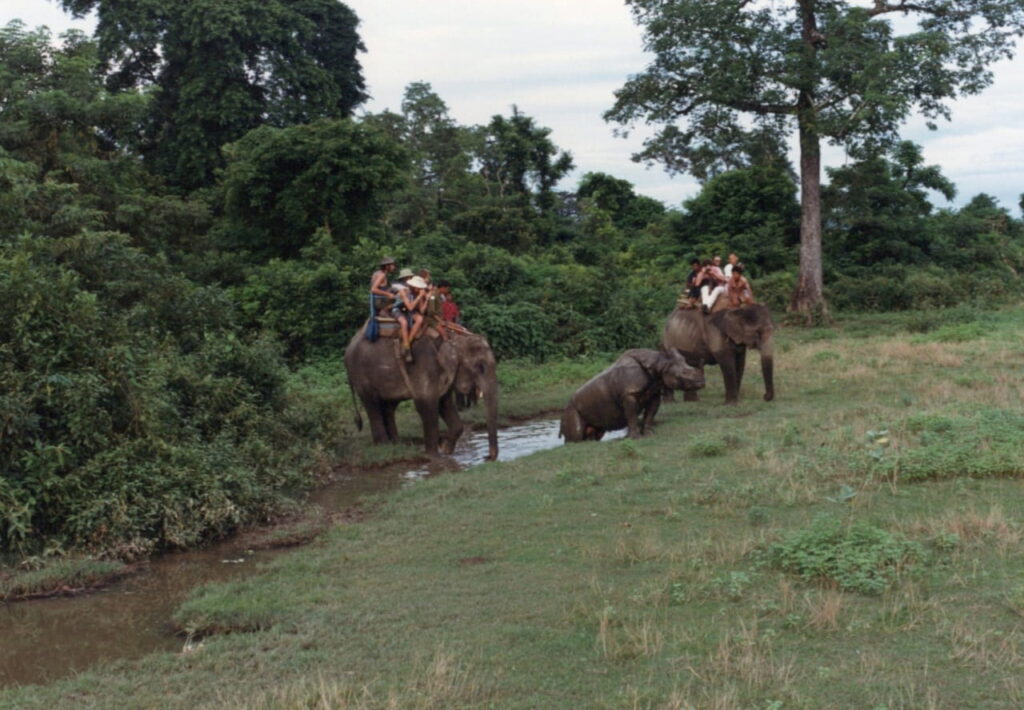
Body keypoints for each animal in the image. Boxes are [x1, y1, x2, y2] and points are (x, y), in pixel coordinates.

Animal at [560, 348, 705, 442]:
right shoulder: (628, 394)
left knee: (596, 433)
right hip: (571, 409)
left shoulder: (654, 393)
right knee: (577, 434)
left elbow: (649, 415)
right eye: (684, 374)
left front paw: (649, 435)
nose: (702, 382)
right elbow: (632, 416)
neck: (659, 364)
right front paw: (635, 438)